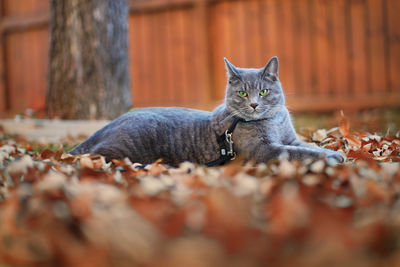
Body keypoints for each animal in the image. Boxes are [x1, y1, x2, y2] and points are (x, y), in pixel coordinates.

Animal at [69, 57, 344, 166]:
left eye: (264, 91)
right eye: (243, 94)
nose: (254, 104)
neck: (272, 120)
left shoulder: (290, 138)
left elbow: (307, 146)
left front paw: (334, 151)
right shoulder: (265, 150)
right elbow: (299, 153)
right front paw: (332, 157)